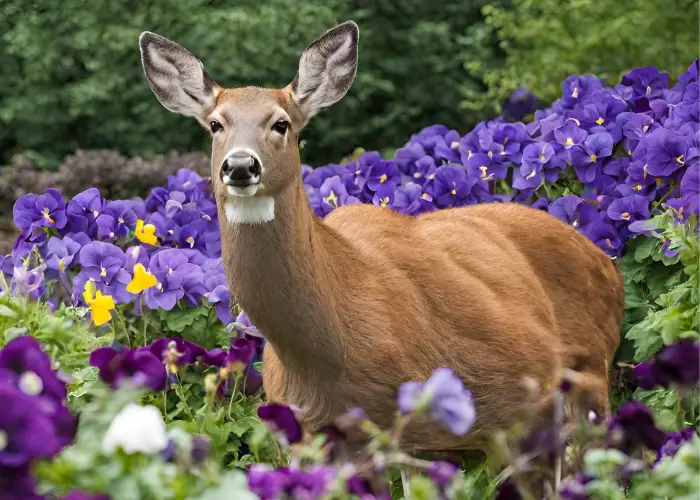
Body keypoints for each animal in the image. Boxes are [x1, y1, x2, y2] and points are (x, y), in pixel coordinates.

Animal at [139, 20, 628, 476]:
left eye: (282, 123)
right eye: (215, 124)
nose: (240, 166)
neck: (327, 355)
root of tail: (605, 260)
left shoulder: (417, 423)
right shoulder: (304, 433)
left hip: (588, 373)